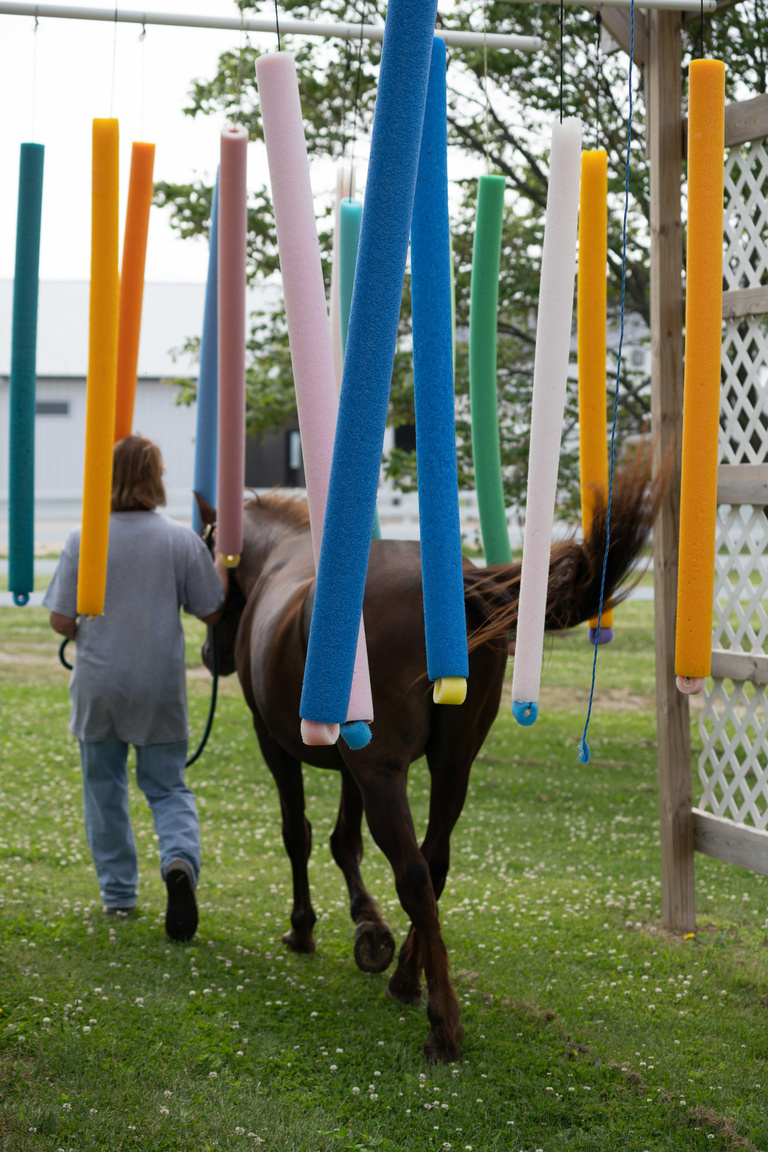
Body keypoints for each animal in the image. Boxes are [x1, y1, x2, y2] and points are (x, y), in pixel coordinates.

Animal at [197, 452, 663, 1063]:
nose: (211, 655)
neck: (281, 556)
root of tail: (453, 584)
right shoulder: (355, 763)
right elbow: (344, 841)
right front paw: (369, 929)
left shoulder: (279, 745)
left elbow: (298, 835)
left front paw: (305, 928)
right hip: (450, 767)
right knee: (434, 862)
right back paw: (407, 978)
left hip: (384, 772)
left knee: (415, 873)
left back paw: (442, 1023)